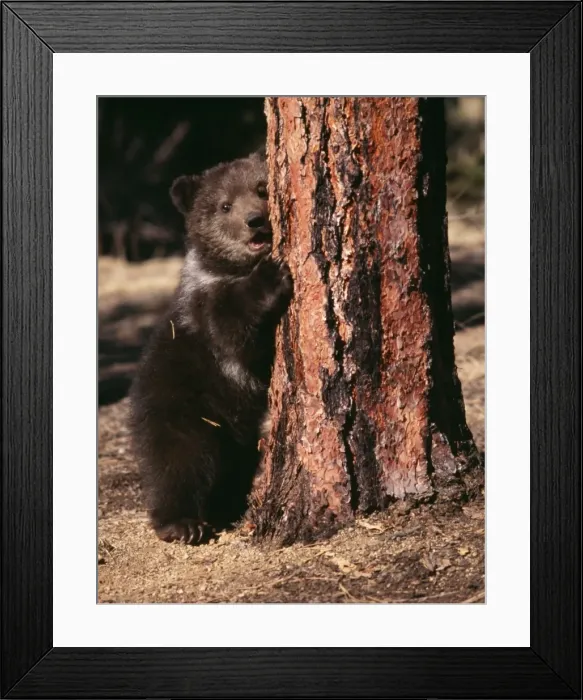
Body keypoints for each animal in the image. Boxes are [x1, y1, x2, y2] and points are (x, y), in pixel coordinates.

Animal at [128, 152, 293, 544]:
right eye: (224, 205)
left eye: (261, 187)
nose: (255, 221)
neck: (228, 269)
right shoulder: (205, 315)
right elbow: (233, 329)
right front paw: (270, 276)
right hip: (180, 407)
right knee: (177, 462)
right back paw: (182, 523)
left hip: (237, 434)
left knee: (233, 467)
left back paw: (227, 508)